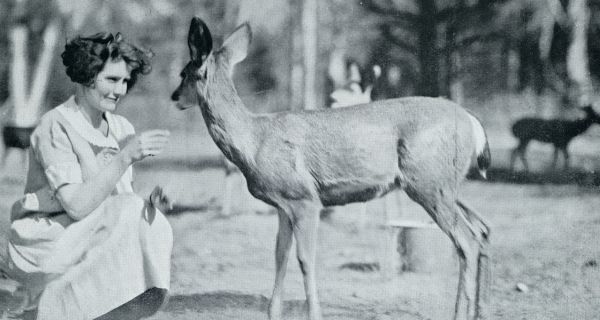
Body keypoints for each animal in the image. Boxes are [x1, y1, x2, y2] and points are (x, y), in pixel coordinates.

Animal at [170, 18, 492, 320]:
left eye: (184, 73)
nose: (174, 97)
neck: (254, 141)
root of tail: (472, 121)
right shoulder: (283, 205)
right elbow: (279, 255)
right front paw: (274, 313)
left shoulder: (304, 199)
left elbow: (305, 259)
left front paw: (314, 313)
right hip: (446, 185)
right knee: (481, 230)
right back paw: (477, 309)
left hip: (429, 184)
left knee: (467, 240)